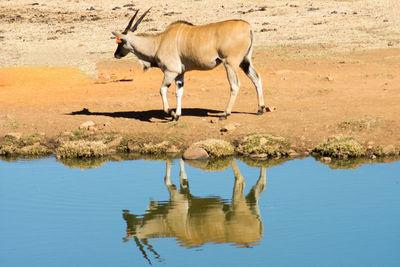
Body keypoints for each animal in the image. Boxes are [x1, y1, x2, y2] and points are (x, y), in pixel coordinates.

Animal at [111, 8, 266, 121]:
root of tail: (248, 27)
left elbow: (162, 90)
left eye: (120, 41)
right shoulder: (180, 73)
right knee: (256, 78)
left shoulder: (170, 72)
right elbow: (179, 92)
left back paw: (225, 113)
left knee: (235, 85)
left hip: (230, 63)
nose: (116, 54)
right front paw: (178, 115)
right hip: (245, 61)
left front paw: (171, 113)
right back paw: (260, 109)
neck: (158, 42)